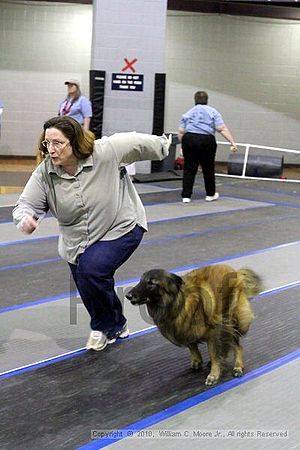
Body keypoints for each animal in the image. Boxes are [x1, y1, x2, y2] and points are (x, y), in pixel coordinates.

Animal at [125, 266, 262, 384]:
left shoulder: (213, 332)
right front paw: (197, 361)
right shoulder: (185, 329)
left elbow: (214, 354)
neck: (178, 301)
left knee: (237, 345)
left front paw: (213, 374)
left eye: (151, 283)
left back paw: (238, 367)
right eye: (140, 280)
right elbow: (192, 346)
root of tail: (235, 271)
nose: (128, 295)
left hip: (230, 319)